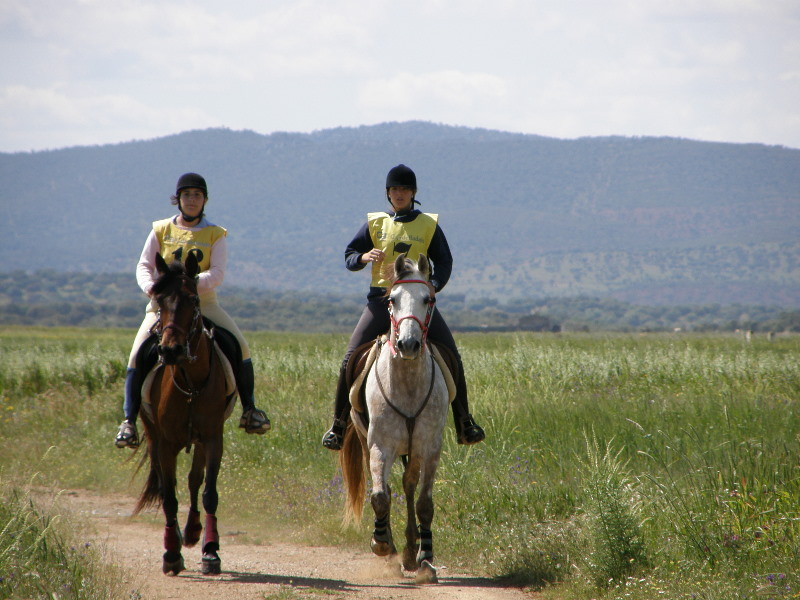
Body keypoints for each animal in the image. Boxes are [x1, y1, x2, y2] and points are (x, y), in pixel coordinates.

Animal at [132, 251, 231, 576]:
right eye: (159, 300)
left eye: (193, 299)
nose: (170, 351)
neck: (190, 385)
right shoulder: (165, 444)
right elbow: (169, 498)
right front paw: (171, 554)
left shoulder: (212, 439)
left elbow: (208, 492)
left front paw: (210, 550)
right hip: (153, 437)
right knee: (168, 487)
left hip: (198, 442)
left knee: (192, 480)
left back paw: (192, 532)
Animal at [338, 254, 450, 584]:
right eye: (392, 299)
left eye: (429, 298)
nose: (408, 345)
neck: (408, 382)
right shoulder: (380, 445)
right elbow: (379, 496)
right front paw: (382, 544)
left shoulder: (429, 446)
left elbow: (424, 502)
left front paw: (425, 559)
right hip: (366, 441)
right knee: (385, 487)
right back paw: (392, 547)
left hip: (411, 450)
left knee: (409, 485)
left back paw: (412, 552)